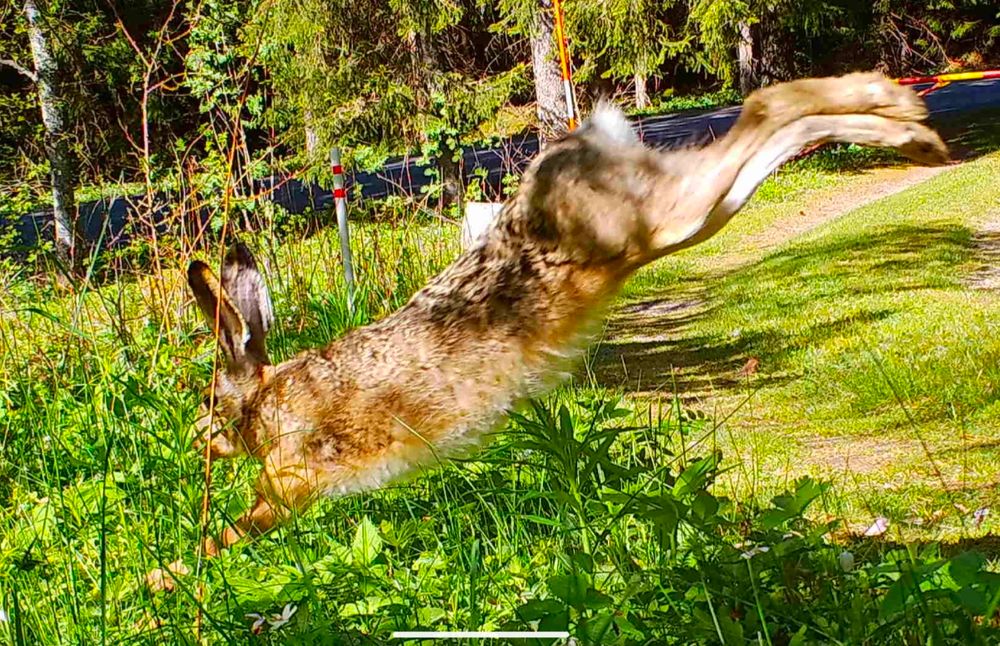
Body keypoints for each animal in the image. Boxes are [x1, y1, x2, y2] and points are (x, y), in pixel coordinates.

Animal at [186, 72, 948, 554]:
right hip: (679, 217)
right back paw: (907, 124)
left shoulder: (291, 481)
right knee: (766, 130)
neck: (265, 405)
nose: (202, 444)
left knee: (764, 107)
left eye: (210, 402)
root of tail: (580, 145)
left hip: (659, 218)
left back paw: (903, 120)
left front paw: (178, 576)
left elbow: (236, 529)